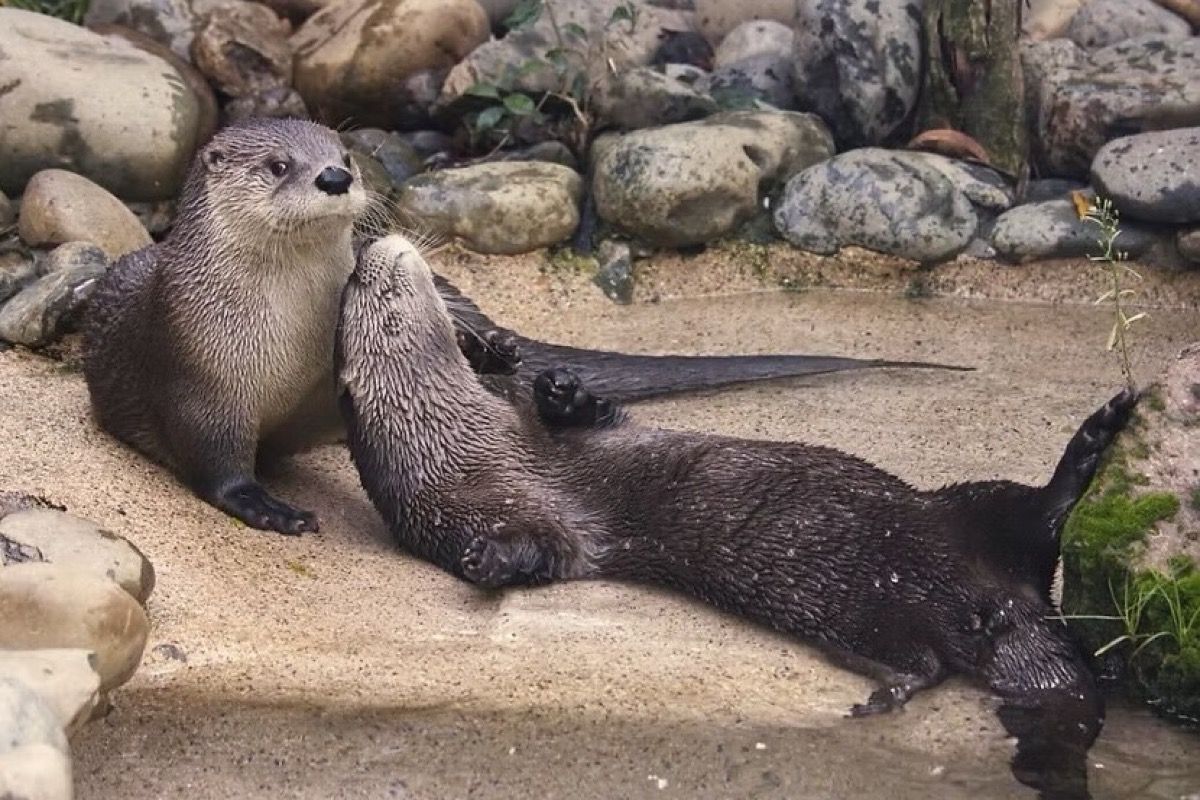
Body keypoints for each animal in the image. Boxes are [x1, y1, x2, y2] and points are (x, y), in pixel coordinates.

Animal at [83, 117, 963, 535]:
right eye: (277, 166)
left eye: (342, 152)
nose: (333, 177)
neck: (279, 333)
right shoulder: (196, 373)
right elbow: (217, 464)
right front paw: (270, 509)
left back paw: (496, 348)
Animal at [336, 235, 1134, 794]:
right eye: (367, 292)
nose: (368, 251)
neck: (467, 443)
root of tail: (1007, 602)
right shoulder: (476, 513)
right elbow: (541, 550)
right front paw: (492, 558)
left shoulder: (560, 437)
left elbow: (596, 418)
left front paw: (557, 386)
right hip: (872, 616)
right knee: (932, 654)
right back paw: (885, 693)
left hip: (964, 509)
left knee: (1039, 515)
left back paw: (1096, 435)